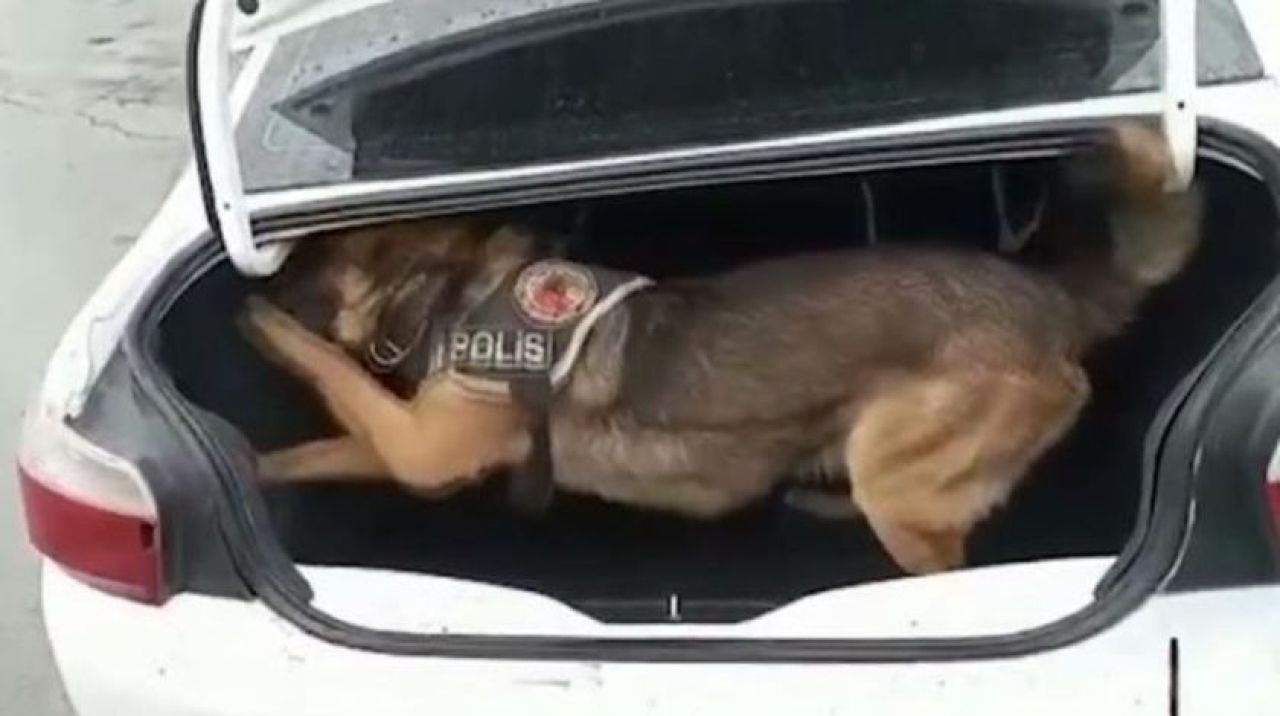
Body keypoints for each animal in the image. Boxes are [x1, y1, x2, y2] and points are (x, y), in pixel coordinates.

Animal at [239, 122, 1201, 575]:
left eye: (311, 262)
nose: (261, 280)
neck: (450, 287)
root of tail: (1051, 294)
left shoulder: (419, 447)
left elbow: (328, 368)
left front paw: (258, 323)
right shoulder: (404, 447)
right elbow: (316, 447)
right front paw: (249, 469)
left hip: (902, 470)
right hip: (884, 454)